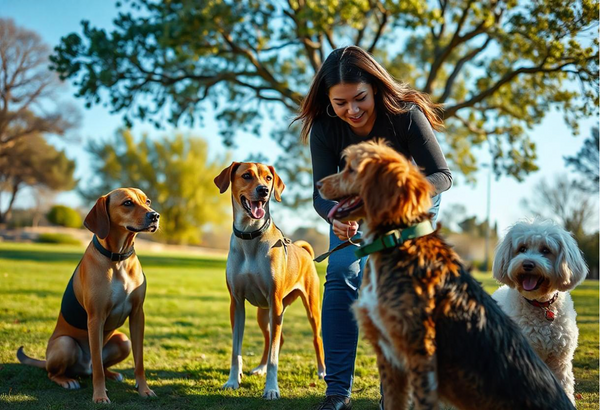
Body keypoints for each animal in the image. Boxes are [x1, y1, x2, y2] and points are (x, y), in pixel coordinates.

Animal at [17, 188, 159, 404]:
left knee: (99, 366)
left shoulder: (137, 315)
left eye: (147, 201)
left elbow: (139, 362)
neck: (118, 259)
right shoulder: (95, 318)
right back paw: (67, 380)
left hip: (122, 340)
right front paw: (100, 396)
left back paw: (112, 374)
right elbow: (98, 368)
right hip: (65, 344)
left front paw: (144, 390)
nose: (155, 216)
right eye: (127, 203)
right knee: (65, 371)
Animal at [214, 162, 326, 398]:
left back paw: (322, 371)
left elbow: (275, 357)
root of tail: (303, 251)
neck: (250, 236)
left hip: (308, 307)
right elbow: (236, 350)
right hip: (263, 312)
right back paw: (260, 367)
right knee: (272, 339)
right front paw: (233, 380)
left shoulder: (274, 300)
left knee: (315, 337)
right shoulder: (236, 303)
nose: (264, 191)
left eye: (268, 178)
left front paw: (272, 388)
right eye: (247, 175)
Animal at [492, 219, 584, 406]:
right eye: (522, 248)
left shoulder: (560, 359)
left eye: (545, 250)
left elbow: (564, 385)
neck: (540, 304)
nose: (527, 264)